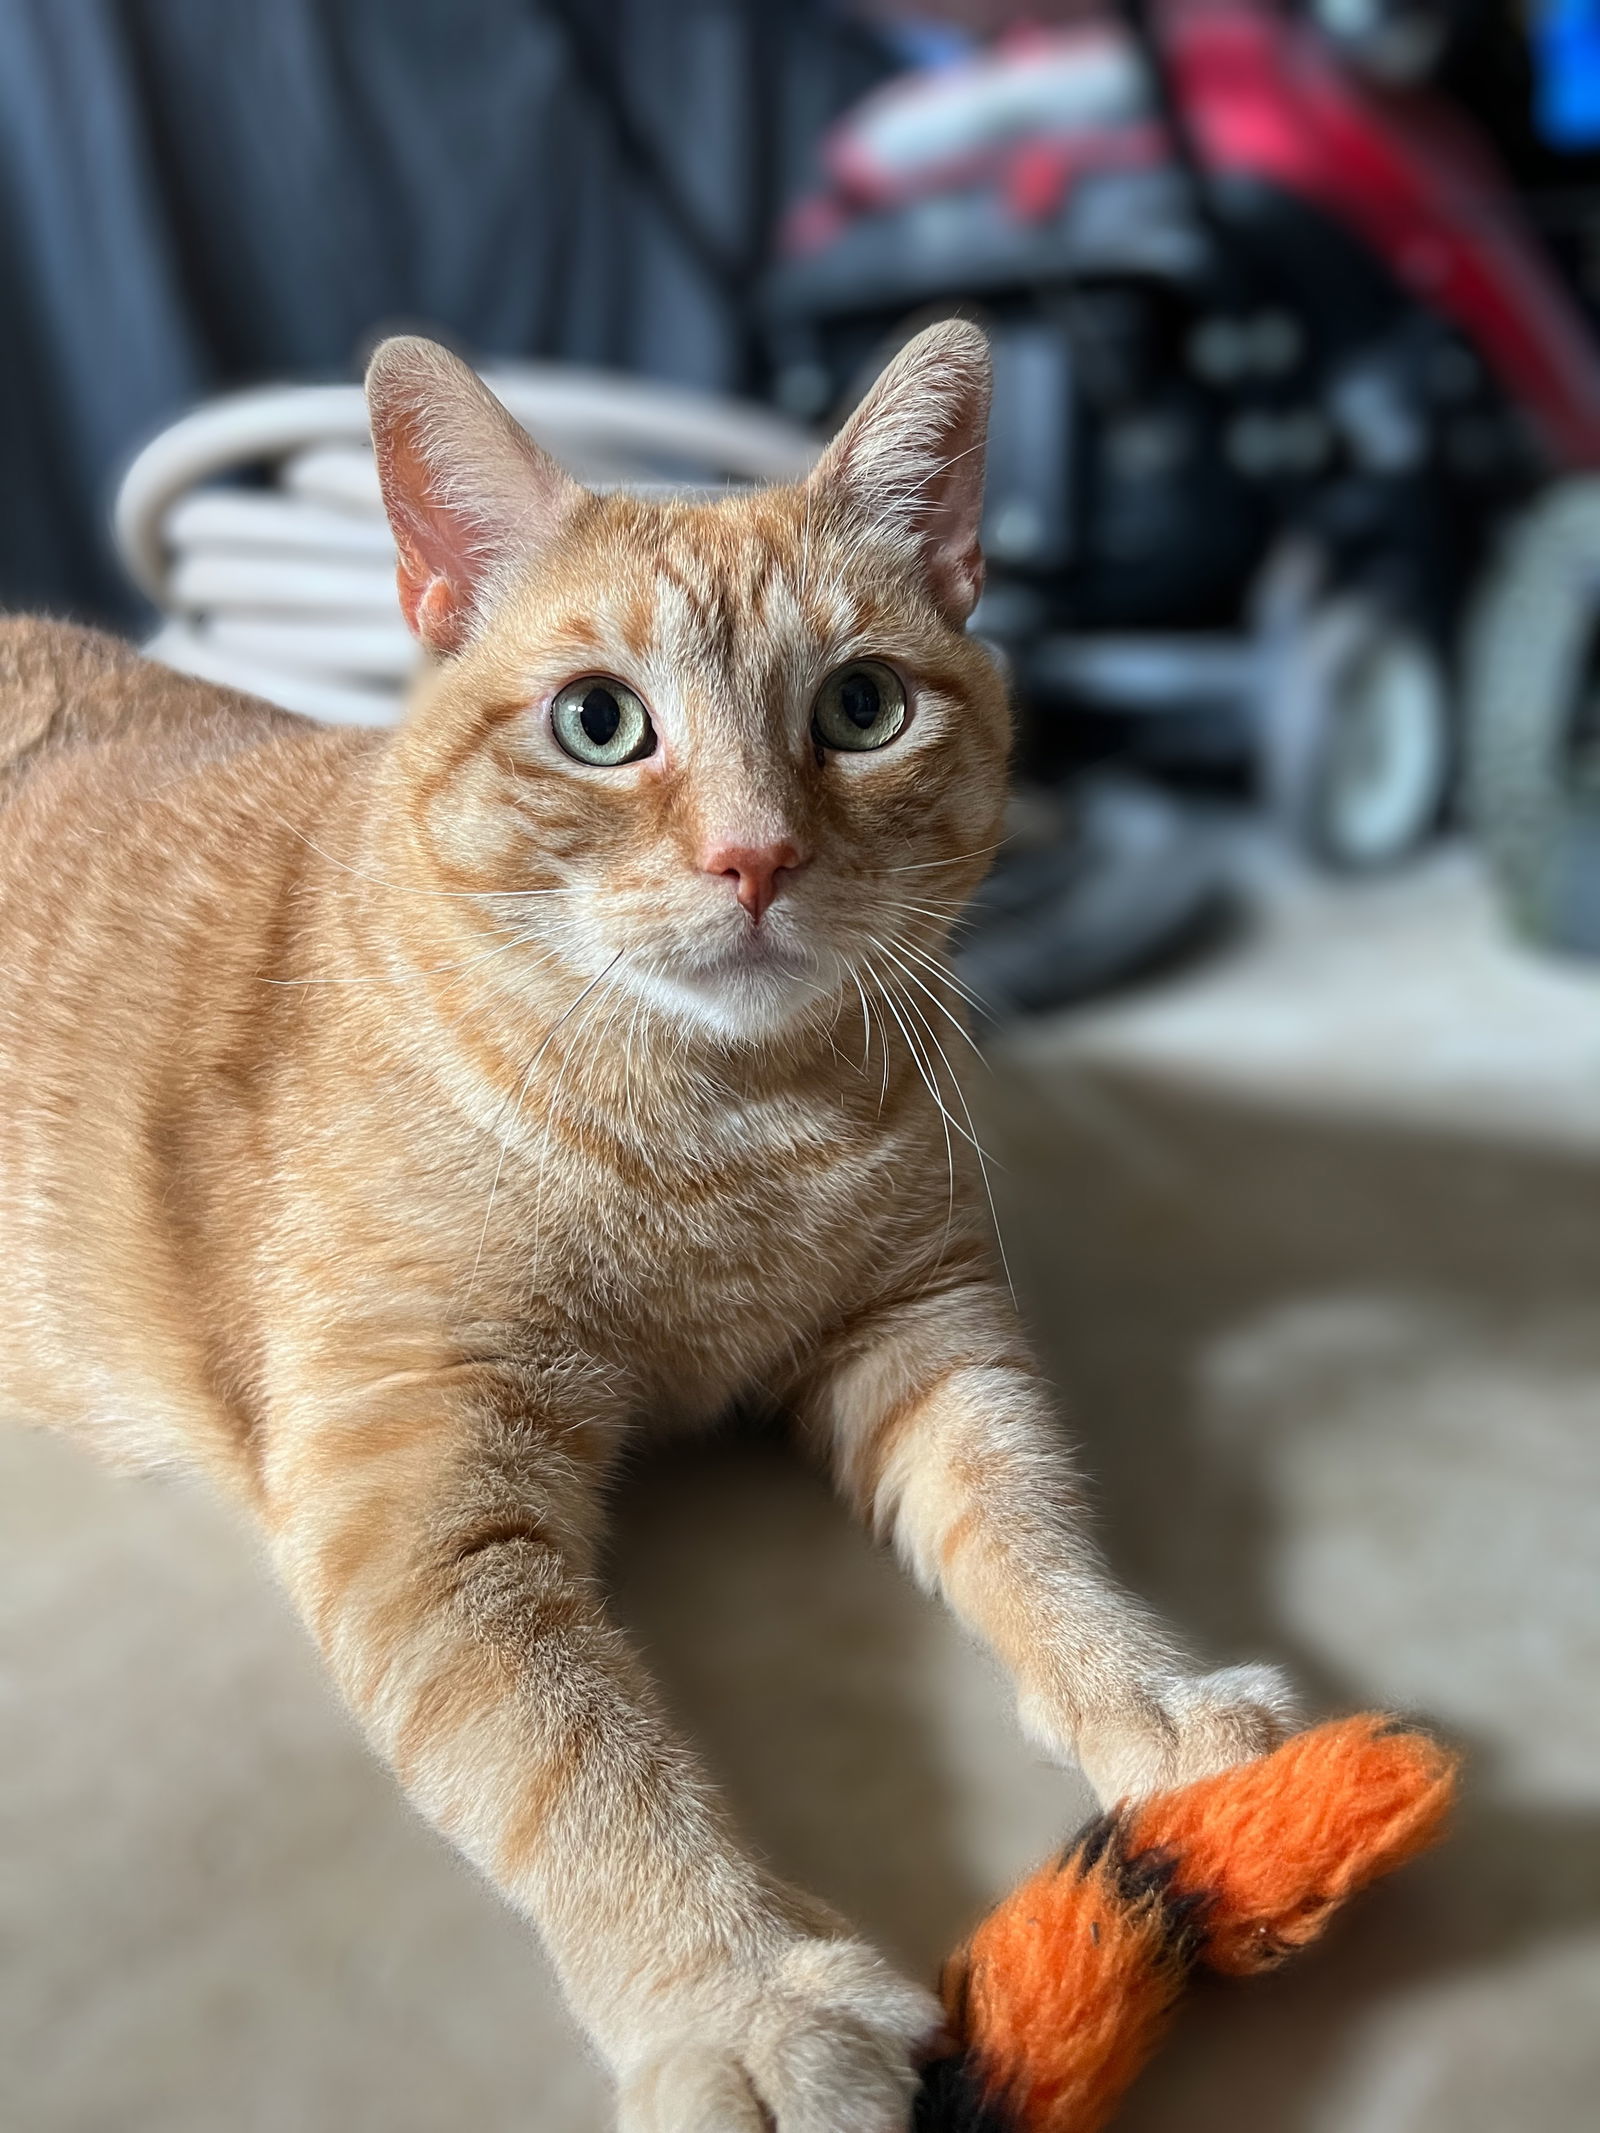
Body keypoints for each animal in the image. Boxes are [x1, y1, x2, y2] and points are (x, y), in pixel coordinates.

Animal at [0, 324, 1288, 2124]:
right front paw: (741, 1996)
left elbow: (1033, 1521)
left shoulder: (926, 1334)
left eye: (862, 707)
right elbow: (578, 1759)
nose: (755, 857)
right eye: (600, 723)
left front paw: (1153, 1697)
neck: (715, 1125)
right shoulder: (420, 1504)